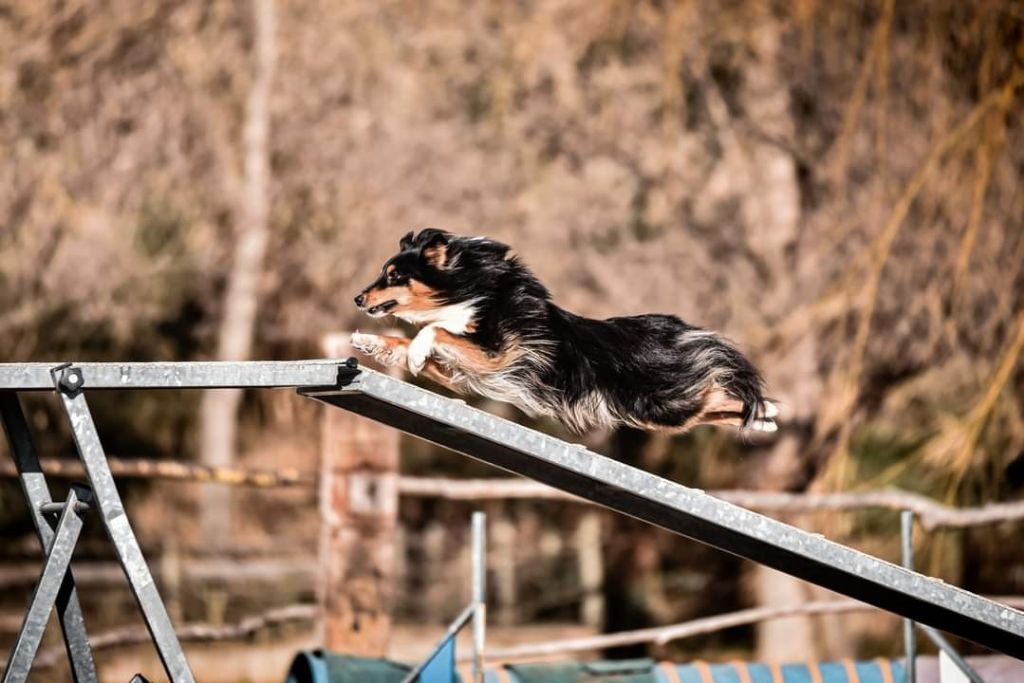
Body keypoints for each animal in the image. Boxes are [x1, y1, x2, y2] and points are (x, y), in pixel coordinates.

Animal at [352, 229, 774, 432]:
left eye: (394, 275)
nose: (358, 297)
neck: (470, 290)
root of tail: (682, 331)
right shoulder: (462, 373)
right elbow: (410, 340)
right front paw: (369, 342)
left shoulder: (497, 355)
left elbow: (435, 332)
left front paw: (416, 348)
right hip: (662, 411)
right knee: (715, 408)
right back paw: (764, 418)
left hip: (662, 402)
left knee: (719, 394)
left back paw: (765, 408)